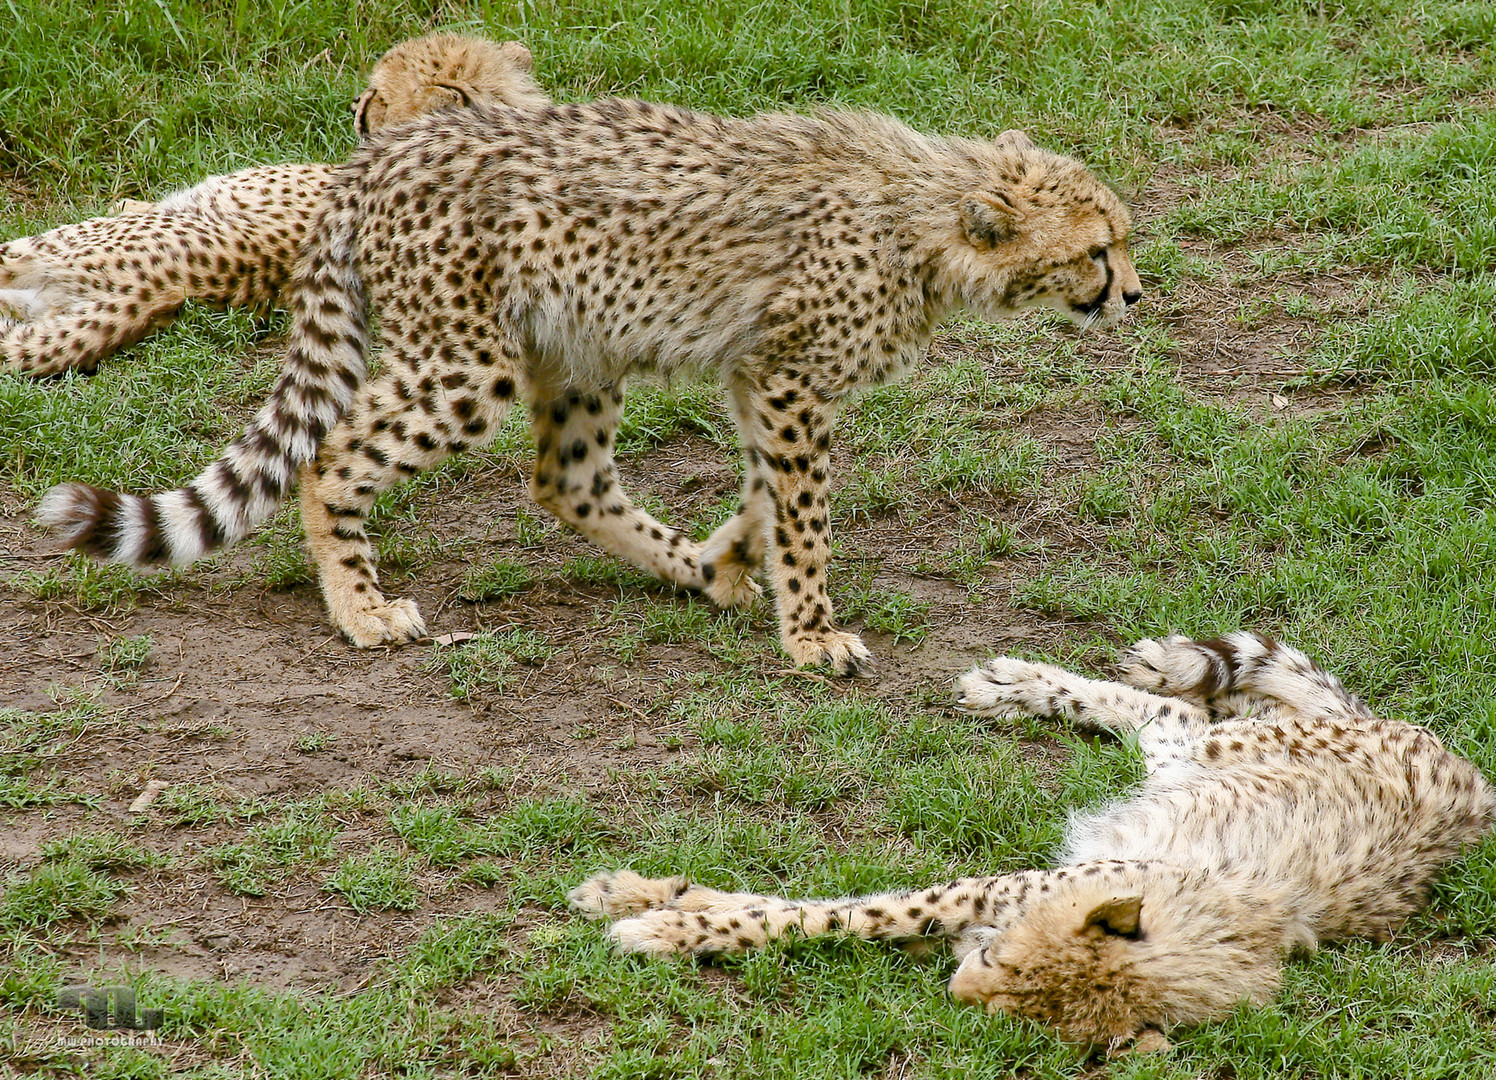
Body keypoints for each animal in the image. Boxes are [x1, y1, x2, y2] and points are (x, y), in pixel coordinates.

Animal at [40, 103, 1136, 673]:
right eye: (1097, 249)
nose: (1131, 291)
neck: (925, 211)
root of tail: (377, 158)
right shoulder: (787, 376)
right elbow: (803, 511)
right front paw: (813, 630)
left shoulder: (757, 373)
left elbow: (763, 493)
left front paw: (733, 560)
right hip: (465, 360)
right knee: (334, 454)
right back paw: (360, 609)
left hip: (577, 347)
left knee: (566, 482)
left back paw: (692, 572)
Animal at [565, 631, 1490, 1041]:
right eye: (1006, 965)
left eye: (1020, 1009)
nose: (958, 992)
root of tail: (1474, 783)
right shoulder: (997, 888)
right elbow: (846, 910)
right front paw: (653, 913)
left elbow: (837, 913)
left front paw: (662, 907)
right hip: (1228, 750)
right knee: (1188, 710)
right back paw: (1021, 683)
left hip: (1198, 765)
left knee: (1179, 715)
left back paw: (1023, 688)